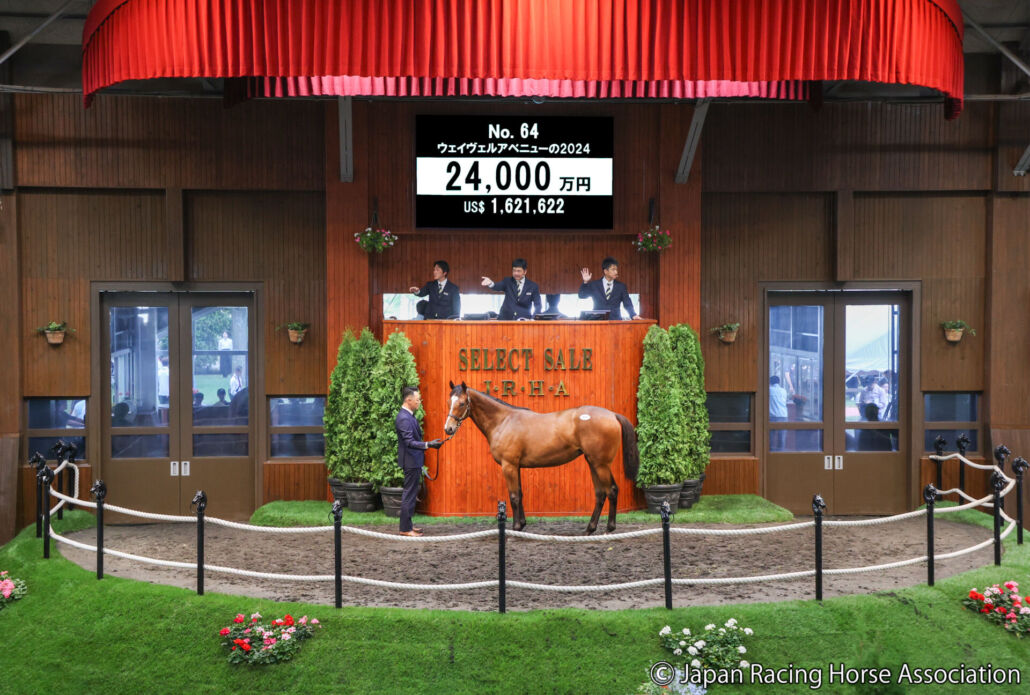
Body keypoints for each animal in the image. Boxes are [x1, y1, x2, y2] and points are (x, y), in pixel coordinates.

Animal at [443, 381, 638, 534]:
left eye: (462, 403)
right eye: (449, 402)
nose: (448, 429)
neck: (504, 421)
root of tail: (612, 414)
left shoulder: (509, 465)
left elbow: (513, 496)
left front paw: (515, 528)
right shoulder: (516, 466)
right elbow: (520, 494)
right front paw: (522, 525)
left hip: (601, 464)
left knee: (611, 490)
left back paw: (609, 528)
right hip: (592, 463)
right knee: (600, 494)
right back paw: (589, 529)